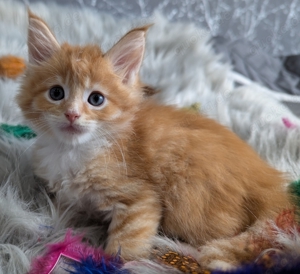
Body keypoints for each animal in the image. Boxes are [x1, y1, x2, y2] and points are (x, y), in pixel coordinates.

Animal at [17, 11, 292, 270]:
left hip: (189, 195)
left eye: (96, 99)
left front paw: (114, 264)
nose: (72, 114)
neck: (74, 151)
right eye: (56, 93)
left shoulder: (139, 200)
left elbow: (127, 242)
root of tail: (269, 183)